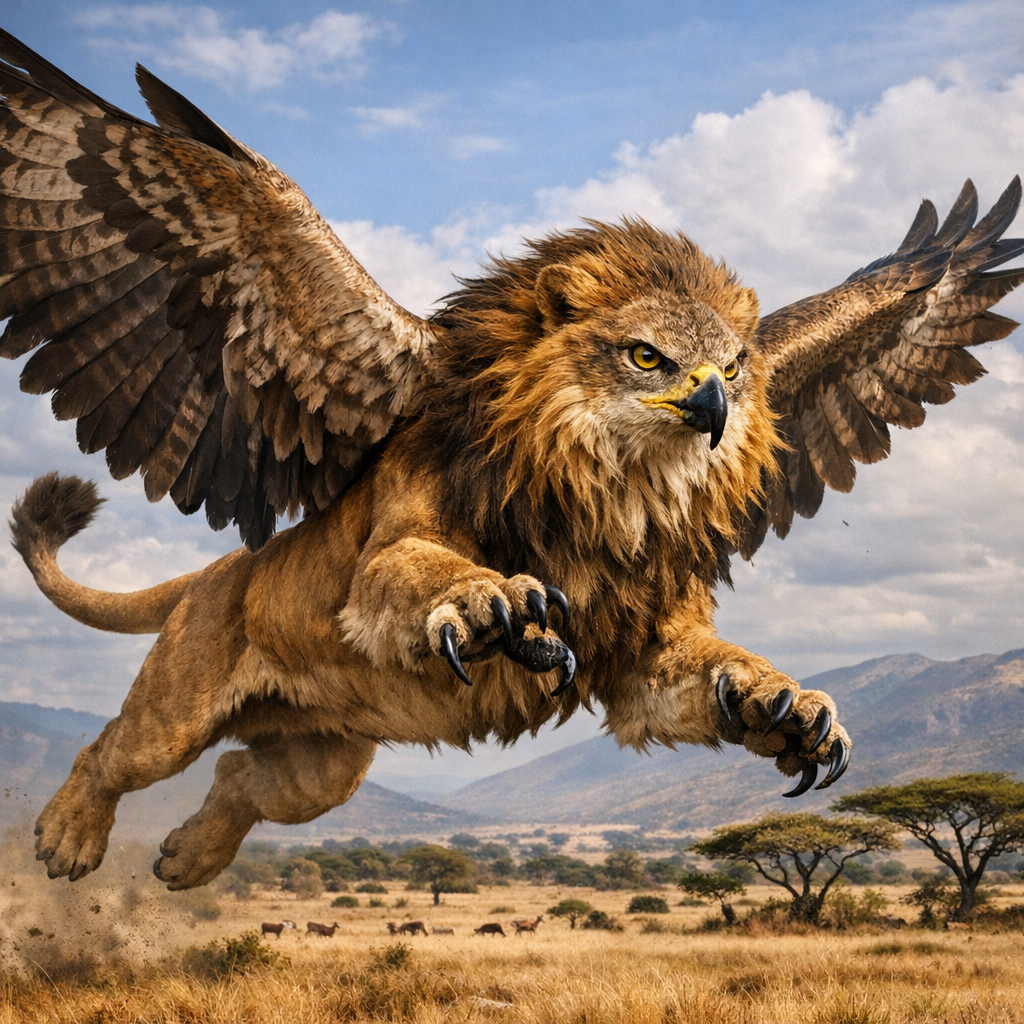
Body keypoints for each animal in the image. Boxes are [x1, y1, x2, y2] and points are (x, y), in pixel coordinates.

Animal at [2, 30, 1021, 888]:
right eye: (646, 356)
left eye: (735, 365)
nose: (716, 405)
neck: (613, 483)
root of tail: (223, 570)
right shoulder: (392, 543)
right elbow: (415, 570)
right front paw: (493, 605)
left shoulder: (642, 640)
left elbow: (706, 669)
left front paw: (789, 705)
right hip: (180, 702)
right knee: (113, 750)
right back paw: (66, 838)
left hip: (326, 761)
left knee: (244, 780)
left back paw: (185, 859)